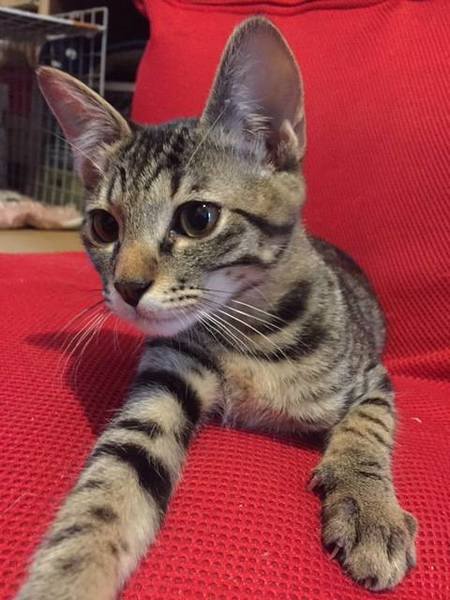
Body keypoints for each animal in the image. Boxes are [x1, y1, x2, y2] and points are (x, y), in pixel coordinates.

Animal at [17, 17, 417, 599]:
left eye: (198, 218)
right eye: (104, 226)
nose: (127, 287)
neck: (251, 333)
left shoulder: (373, 376)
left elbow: (368, 428)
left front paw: (370, 508)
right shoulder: (168, 374)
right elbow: (111, 481)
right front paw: (65, 575)